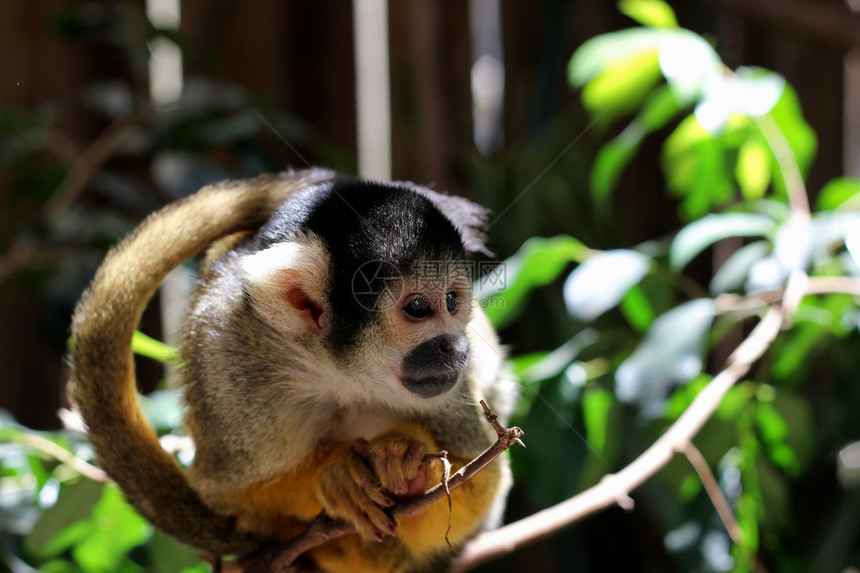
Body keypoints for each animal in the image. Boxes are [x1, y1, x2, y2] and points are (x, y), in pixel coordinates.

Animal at [69, 169, 516, 572]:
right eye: (419, 308)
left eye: (453, 302)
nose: (454, 347)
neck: (341, 373)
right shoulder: (230, 366)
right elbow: (226, 494)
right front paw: (333, 475)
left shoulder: (451, 393)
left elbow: (484, 483)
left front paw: (411, 470)